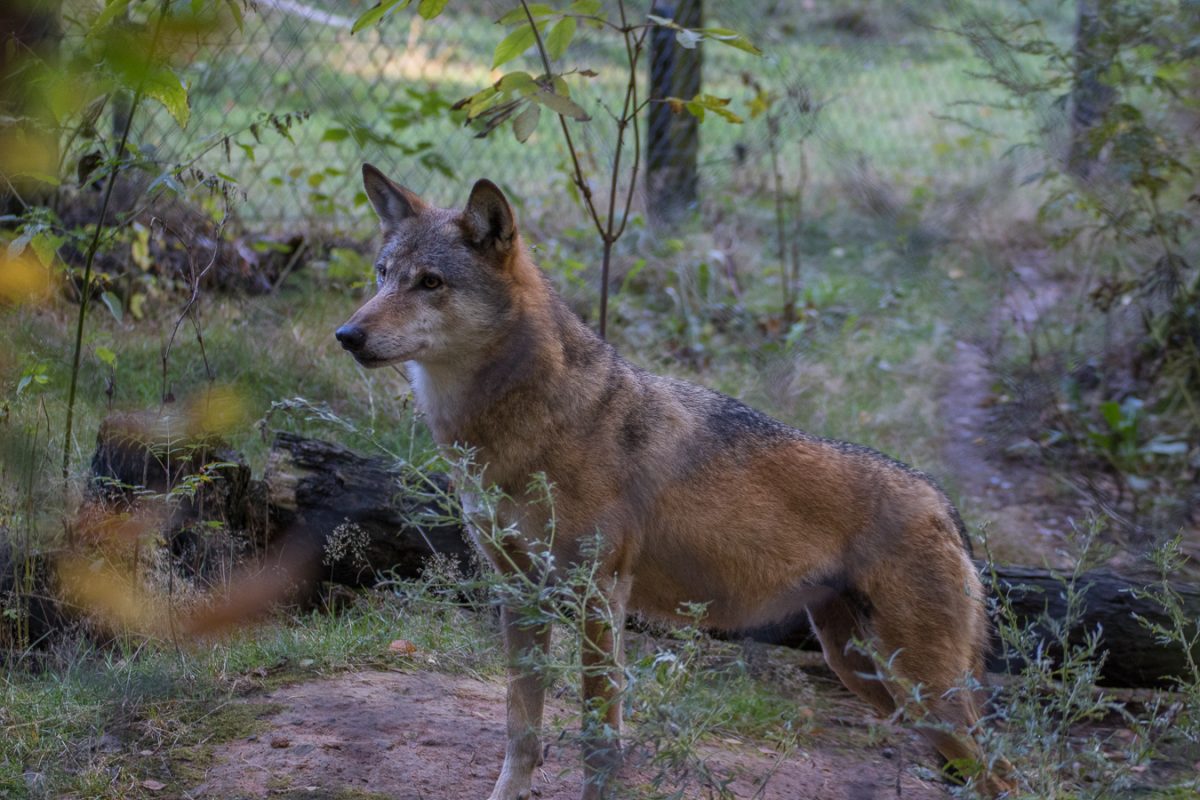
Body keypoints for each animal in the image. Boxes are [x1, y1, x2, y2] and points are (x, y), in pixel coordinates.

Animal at [336, 163, 1016, 799]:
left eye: (430, 282)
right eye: (382, 274)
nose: (347, 335)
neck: (523, 423)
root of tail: (941, 500)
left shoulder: (598, 598)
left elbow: (599, 736)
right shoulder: (520, 594)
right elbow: (520, 730)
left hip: (920, 690)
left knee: (1005, 775)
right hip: (868, 675)